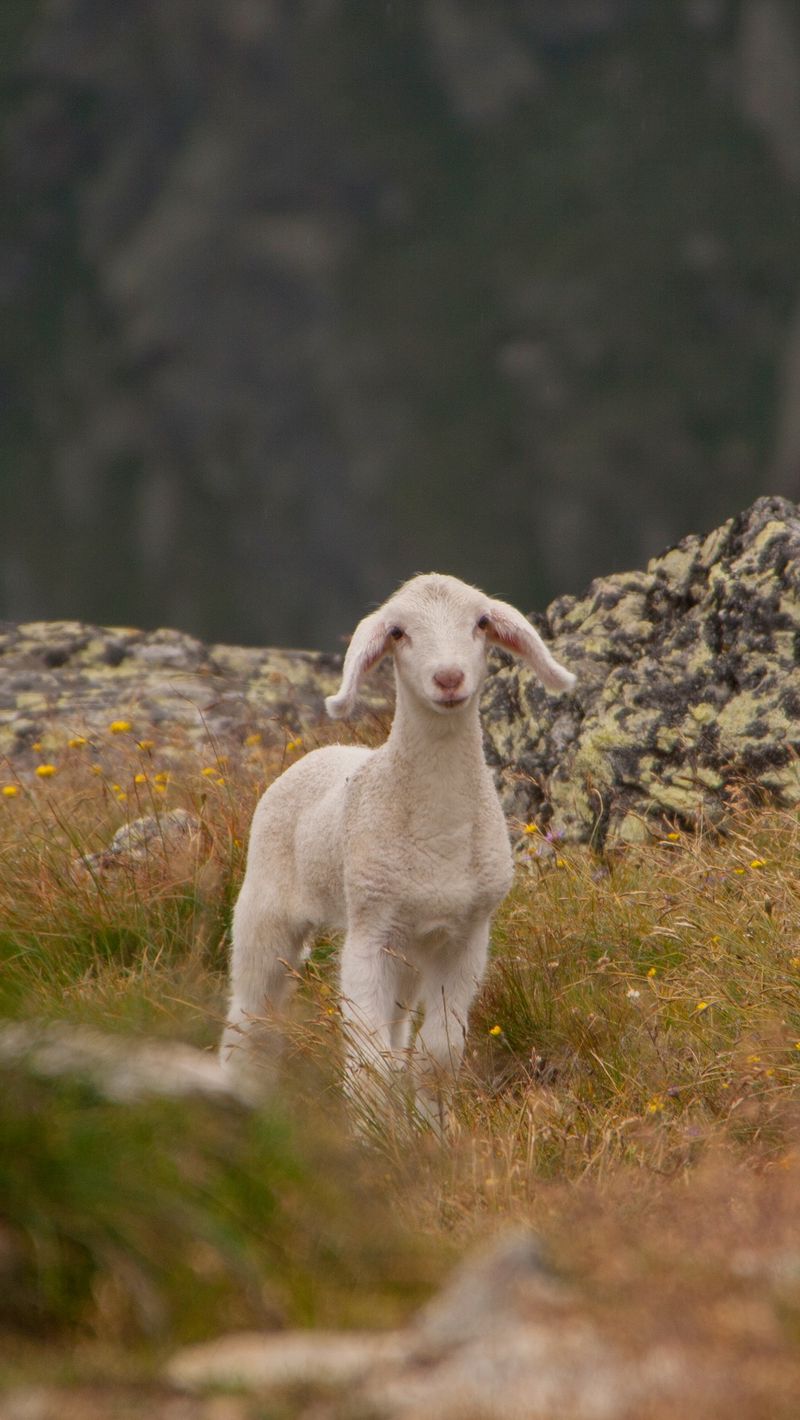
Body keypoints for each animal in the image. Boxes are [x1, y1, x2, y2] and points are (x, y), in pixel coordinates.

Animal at [219, 573, 576, 1127]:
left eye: (481, 622)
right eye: (397, 632)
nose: (448, 678)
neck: (440, 834)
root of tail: (323, 752)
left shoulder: (466, 936)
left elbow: (438, 1055)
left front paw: (431, 1132)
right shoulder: (369, 932)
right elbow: (369, 1062)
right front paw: (373, 1135)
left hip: (409, 951)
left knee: (395, 1029)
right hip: (266, 909)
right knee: (251, 1016)